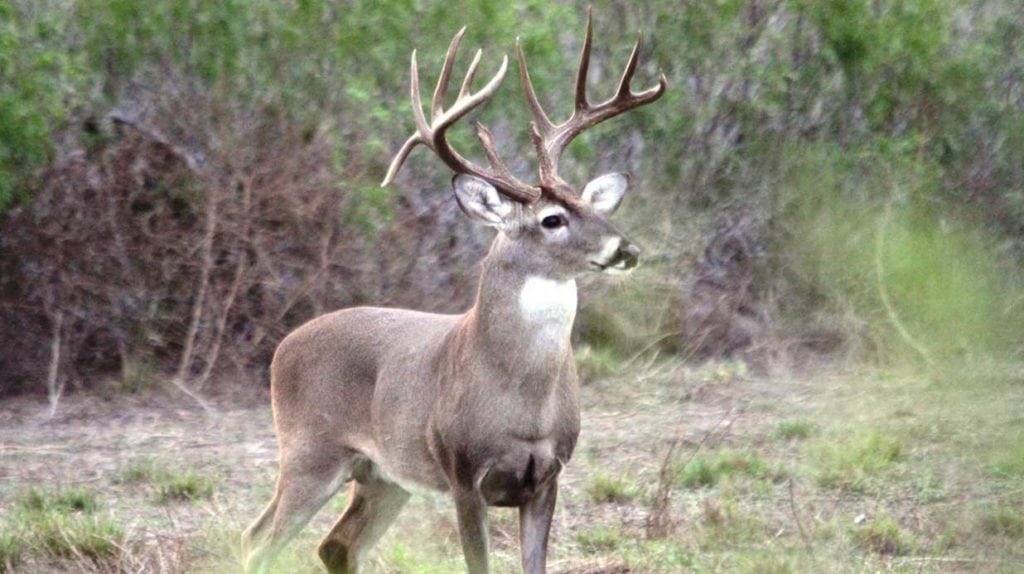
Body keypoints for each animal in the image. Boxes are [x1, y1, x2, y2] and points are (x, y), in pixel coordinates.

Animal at [243, 11, 667, 568]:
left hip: (383, 476)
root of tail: (282, 348)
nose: (627, 249)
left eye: (591, 206)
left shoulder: (547, 476)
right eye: (552, 219)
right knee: (258, 542)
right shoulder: (464, 473)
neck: (522, 400)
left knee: (333, 545)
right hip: (309, 452)